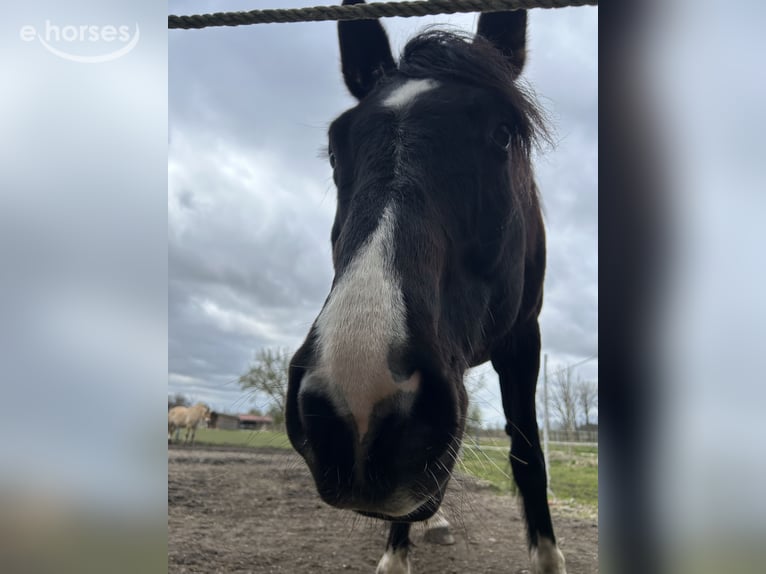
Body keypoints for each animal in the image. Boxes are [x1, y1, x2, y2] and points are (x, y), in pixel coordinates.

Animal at [285, 4, 566, 573]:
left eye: (503, 133)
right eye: (336, 149)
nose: (358, 404)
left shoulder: (524, 338)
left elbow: (528, 454)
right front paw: (397, 553)